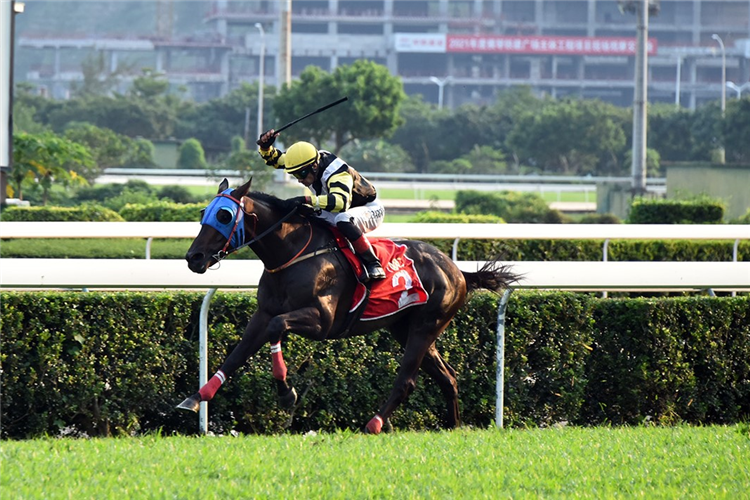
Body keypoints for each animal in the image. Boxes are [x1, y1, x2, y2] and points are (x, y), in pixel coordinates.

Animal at [177, 180, 520, 434]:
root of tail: (458, 271)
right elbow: (237, 353)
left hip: (426, 325)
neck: (292, 253)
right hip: (405, 328)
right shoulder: (263, 314)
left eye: (223, 216)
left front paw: (287, 393)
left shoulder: (321, 321)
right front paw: (196, 397)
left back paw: (375, 423)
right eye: (204, 213)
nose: (193, 258)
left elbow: (278, 328)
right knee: (448, 377)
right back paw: (454, 426)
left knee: (407, 380)